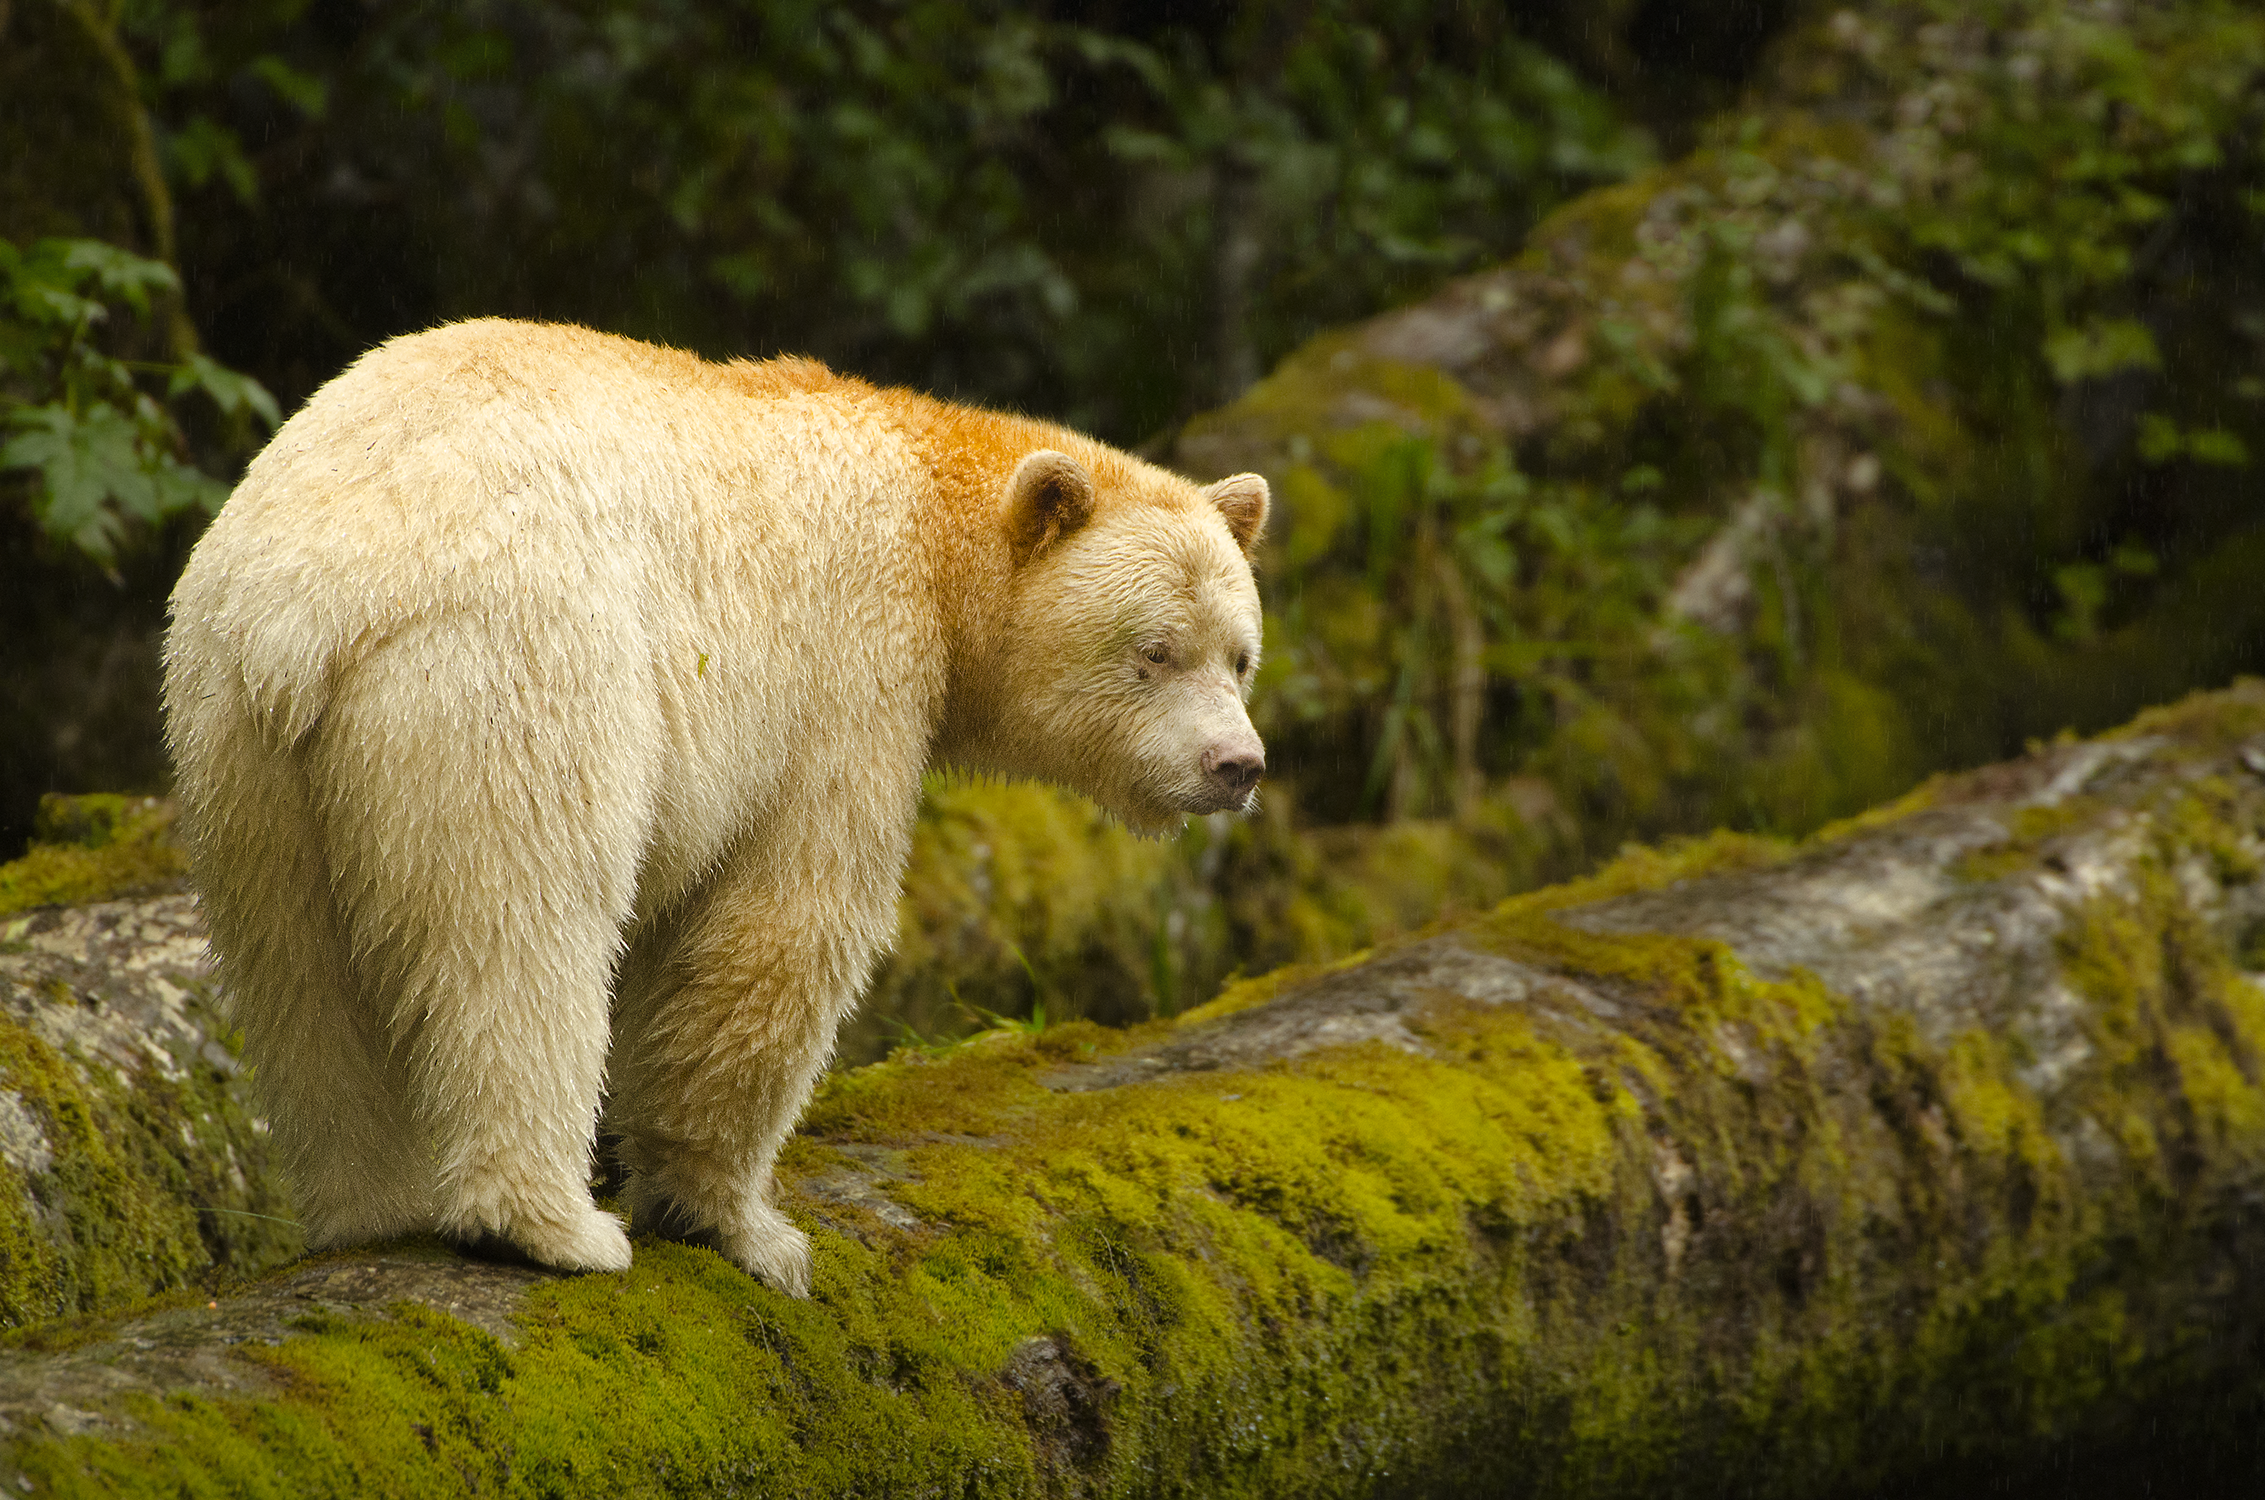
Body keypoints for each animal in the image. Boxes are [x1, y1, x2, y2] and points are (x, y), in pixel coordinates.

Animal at [162, 318, 1268, 1293]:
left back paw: (375, 1208)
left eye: (1241, 653)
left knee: (298, 972)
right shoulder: (846, 669)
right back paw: (552, 1226)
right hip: (513, 668)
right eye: (1155, 649)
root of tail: (310, 606)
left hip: (236, 741)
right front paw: (744, 1227)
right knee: (524, 925)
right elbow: (789, 921)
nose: (1239, 765)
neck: (927, 502)